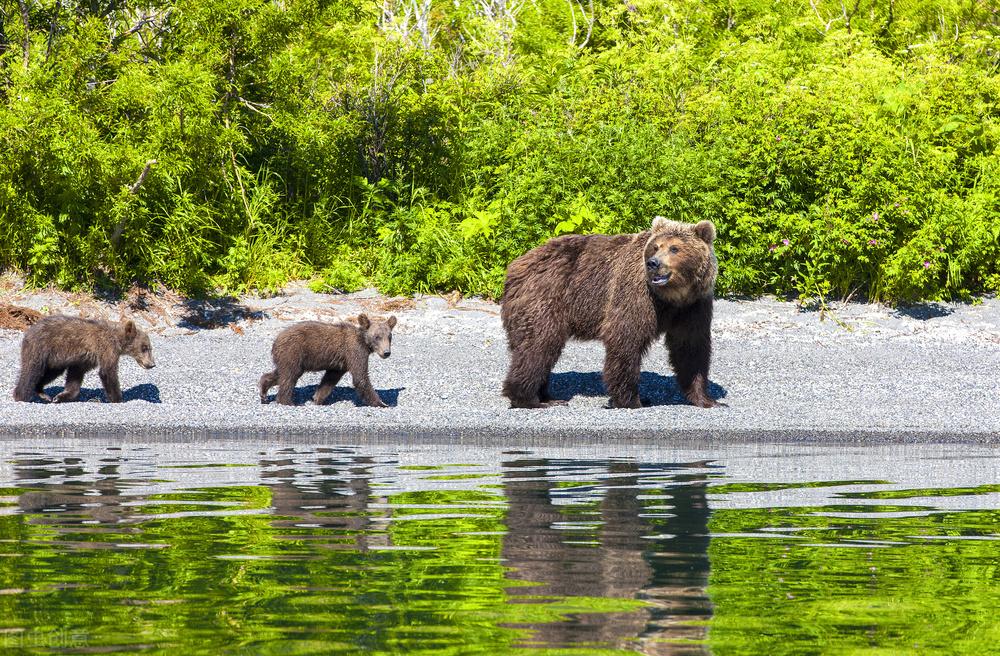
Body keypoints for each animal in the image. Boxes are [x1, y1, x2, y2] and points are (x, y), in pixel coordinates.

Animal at [500, 218, 720, 408]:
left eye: (675, 248)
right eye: (656, 246)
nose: (653, 263)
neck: (672, 296)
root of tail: (515, 266)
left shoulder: (693, 306)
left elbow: (690, 348)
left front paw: (706, 399)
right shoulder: (637, 295)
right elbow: (626, 338)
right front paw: (632, 400)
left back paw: (546, 396)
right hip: (546, 297)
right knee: (540, 344)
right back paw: (530, 399)